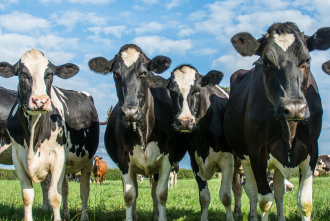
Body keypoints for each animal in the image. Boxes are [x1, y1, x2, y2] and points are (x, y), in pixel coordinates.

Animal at [0, 48, 99, 221]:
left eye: (50, 74)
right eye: (22, 74)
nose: (40, 101)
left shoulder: (58, 156)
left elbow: (54, 196)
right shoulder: (17, 157)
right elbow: (27, 196)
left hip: (88, 160)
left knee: (84, 190)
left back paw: (84, 216)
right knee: (65, 189)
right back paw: (66, 214)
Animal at [89, 43, 189, 221]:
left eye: (143, 74)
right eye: (115, 74)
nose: (130, 112)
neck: (143, 131)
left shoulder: (167, 158)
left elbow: (161, 194)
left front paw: (161, 217)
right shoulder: (123, 160)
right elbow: (129, 195)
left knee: (154, 191)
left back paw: (155, 214)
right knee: (133, 188)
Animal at [153, 64, 238, 220]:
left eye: (198, 90)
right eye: (172, 91)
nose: (185, 122)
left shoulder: (228, 159)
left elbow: (226, 196)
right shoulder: (195, 161)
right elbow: (204, 198)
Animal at [223, 22, 328, 221]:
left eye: (307, 60)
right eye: (266, 62)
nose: (294, 108)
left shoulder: (312, 149)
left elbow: (305, 202)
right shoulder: (256, 152)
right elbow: (264, 201)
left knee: (279, 191)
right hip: (243, 157)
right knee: (250, 191)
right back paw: (251, 216)